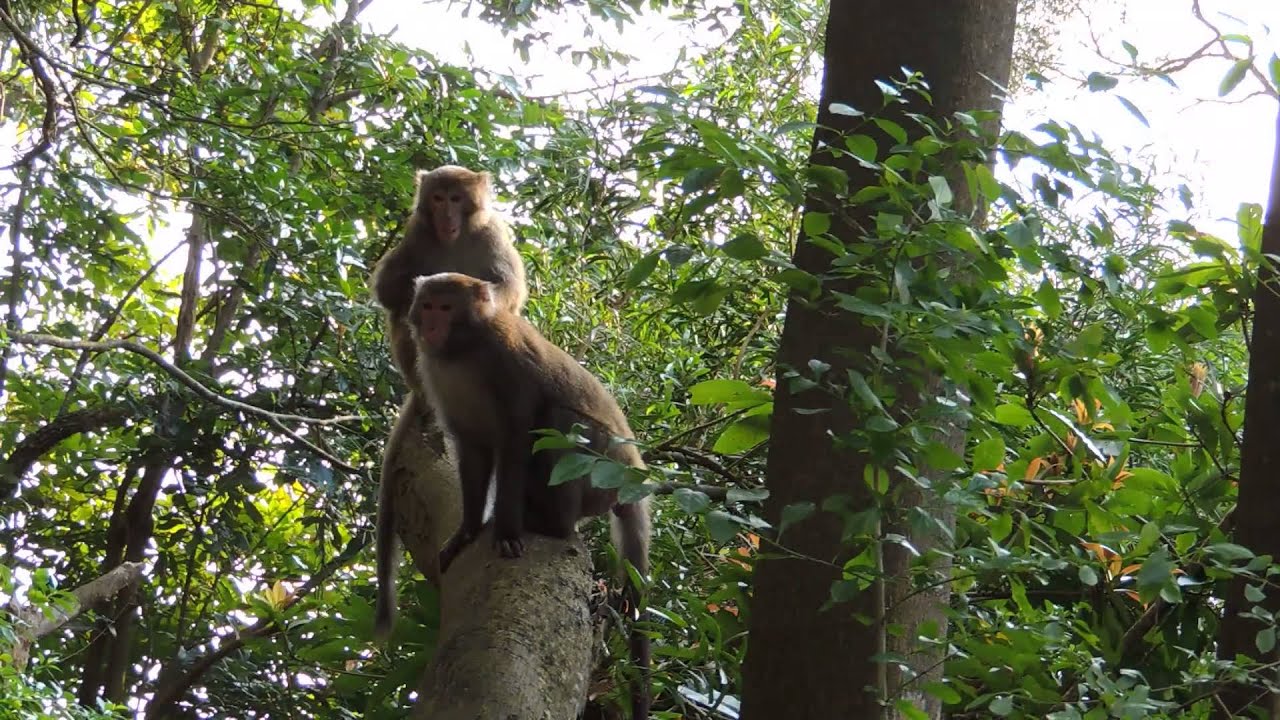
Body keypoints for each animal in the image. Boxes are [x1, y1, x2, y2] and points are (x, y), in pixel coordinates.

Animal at [371, 165, 528, 640]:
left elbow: (508, 290)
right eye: (438, 198)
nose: (445, 216)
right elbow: (390, 291)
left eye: (457, 198)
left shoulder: (492, 236)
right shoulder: (415, 235)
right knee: (403, 320)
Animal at [408, 271, 651, 719]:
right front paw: (468, 531)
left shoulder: (508, 363)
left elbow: (516, 438)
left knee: (561, 419)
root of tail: (633, 472)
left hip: (603, 469)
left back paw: (552, 525)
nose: (431, 325)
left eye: (446, 307)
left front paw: (505, 530)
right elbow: (473, 448)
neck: (463, 349)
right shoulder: (437, 373)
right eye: (428, 305)